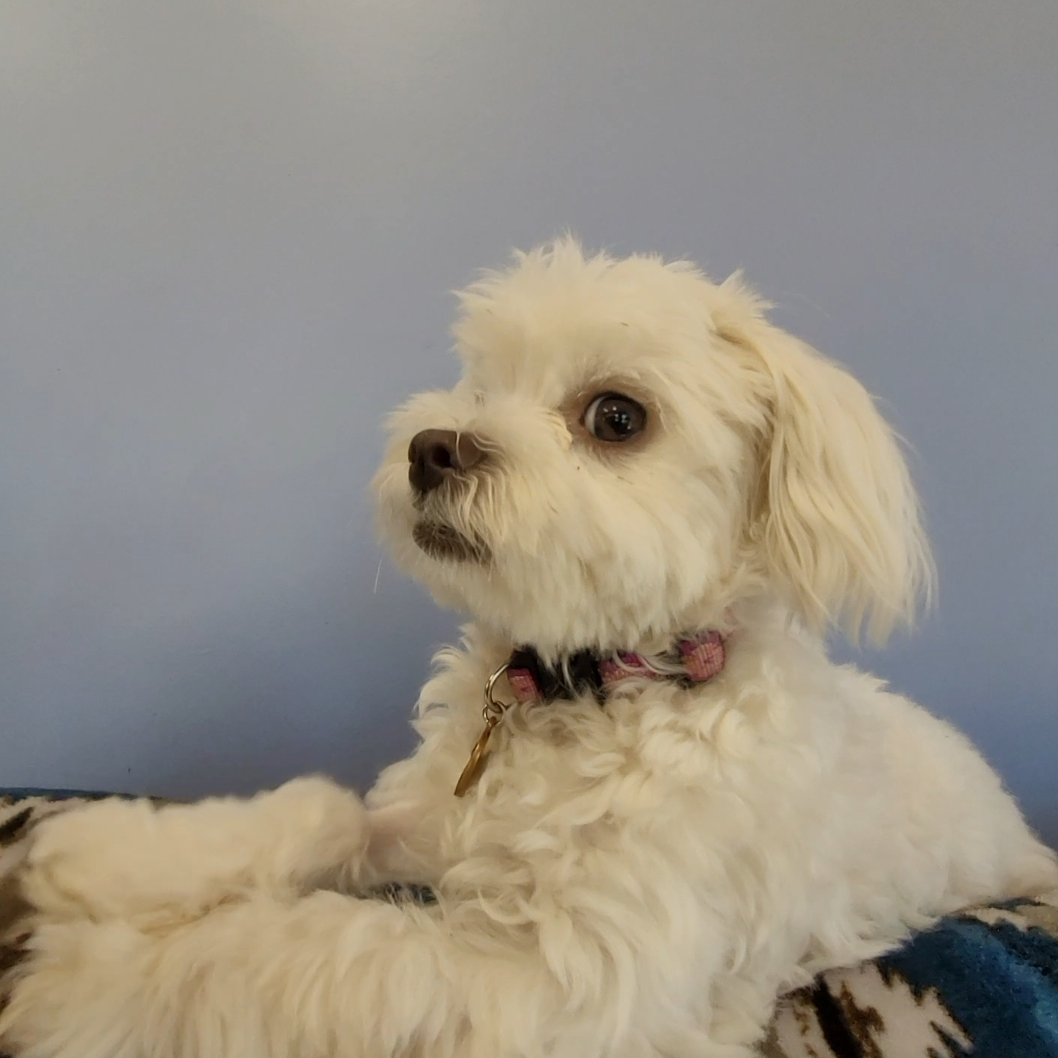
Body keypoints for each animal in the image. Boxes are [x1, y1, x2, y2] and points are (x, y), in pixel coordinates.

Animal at [2, 240, 1058, 1058]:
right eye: (480, 383)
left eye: (617, 416)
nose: (432, 446)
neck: (580, 689)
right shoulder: (430, 817)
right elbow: (328, 814)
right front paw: (102, 860)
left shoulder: (568, 988)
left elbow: (308, 959)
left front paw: (89, 988)